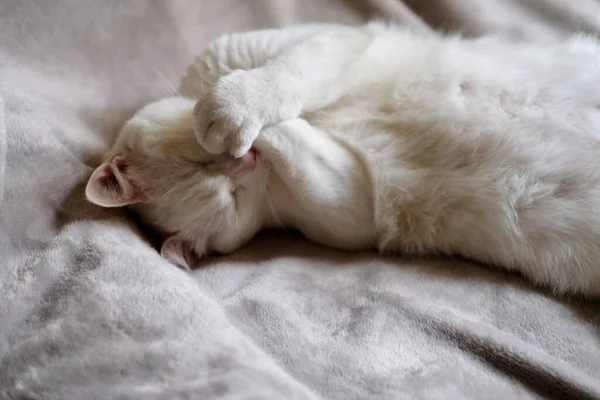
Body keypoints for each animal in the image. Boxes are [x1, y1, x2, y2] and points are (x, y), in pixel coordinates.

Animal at [85, 22, 600, 296]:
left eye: (202, 161)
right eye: (232, 198)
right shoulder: (353, 197)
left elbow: (275, 75)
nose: (244, 160)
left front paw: (234, 105)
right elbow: (298, 139)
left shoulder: (332, 39)